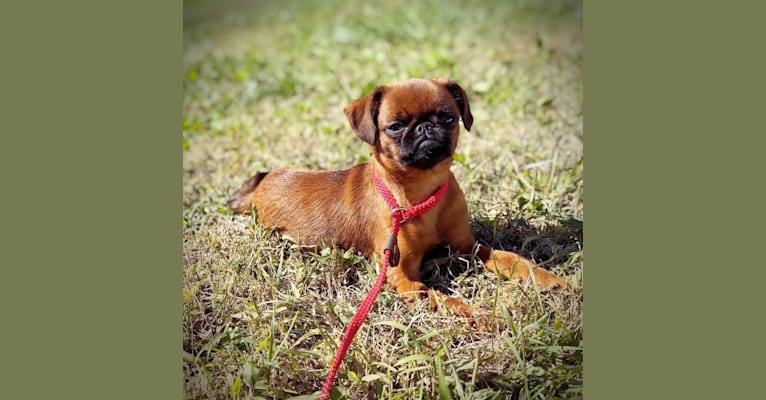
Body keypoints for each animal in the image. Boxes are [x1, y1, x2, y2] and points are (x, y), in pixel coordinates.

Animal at [225, 77, 568, 316]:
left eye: (448, 118)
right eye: (395, 126)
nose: (425, 128)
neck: (422, 193)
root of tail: (262, 183)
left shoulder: (467, 247)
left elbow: (511, 258)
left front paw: (546, 278)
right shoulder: (403, 278)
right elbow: (445, 299)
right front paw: (482, 316)